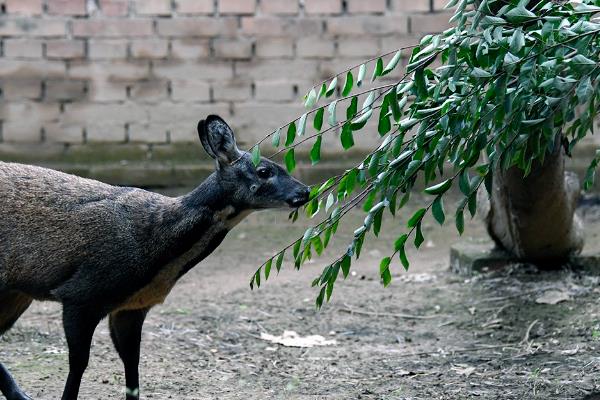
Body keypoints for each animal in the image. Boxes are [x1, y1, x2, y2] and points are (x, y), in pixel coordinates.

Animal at [0, 115, 310, 400]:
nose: (304, 191)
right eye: (264, 170)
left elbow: (133, 366)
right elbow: (79, 364)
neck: (155, 243)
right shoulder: (80, 295)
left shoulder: (132, 306)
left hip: (17, 292)